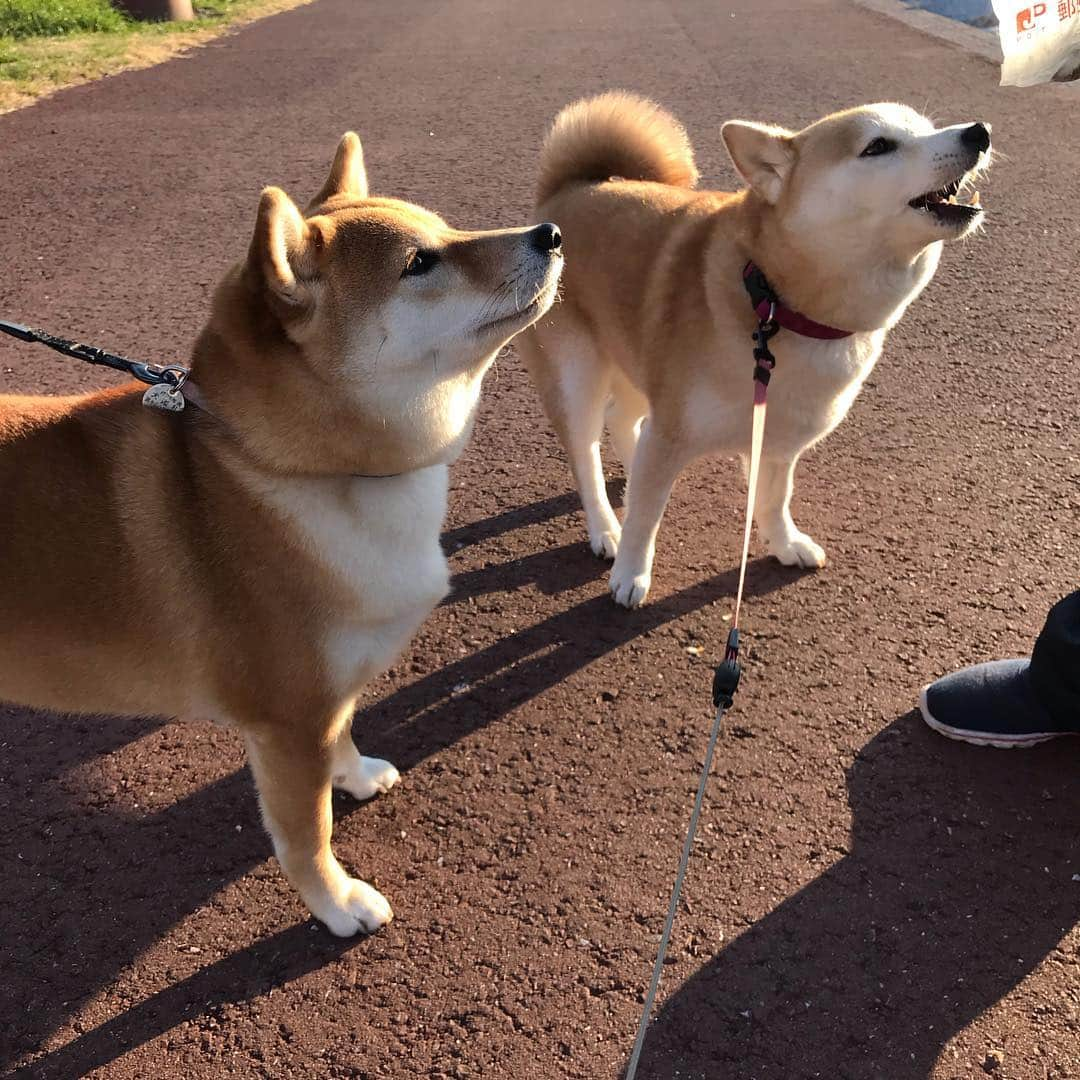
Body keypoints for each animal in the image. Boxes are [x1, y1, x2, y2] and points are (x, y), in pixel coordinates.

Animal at [2, 132, 565, 937]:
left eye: (447, 228)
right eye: (419, 262)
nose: (550, 232)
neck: (287, 470)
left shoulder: (326, 699)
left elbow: (346, 733)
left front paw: (354, 773)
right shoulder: (287, 722)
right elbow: (307, 832)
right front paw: (336, 903)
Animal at [518, 93, 989, 609]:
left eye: (928, 127)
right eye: (878, 146)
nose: (978, 132)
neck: (774, 302)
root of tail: (567, 192)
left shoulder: (778, 440)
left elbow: (773, 499)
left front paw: (784, 543)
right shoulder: (672, 433)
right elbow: (646, 515)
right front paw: (631, 573)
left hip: (639, 358)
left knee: (623, 420)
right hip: (576, 374)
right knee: (586, 456)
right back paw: (605, 527)